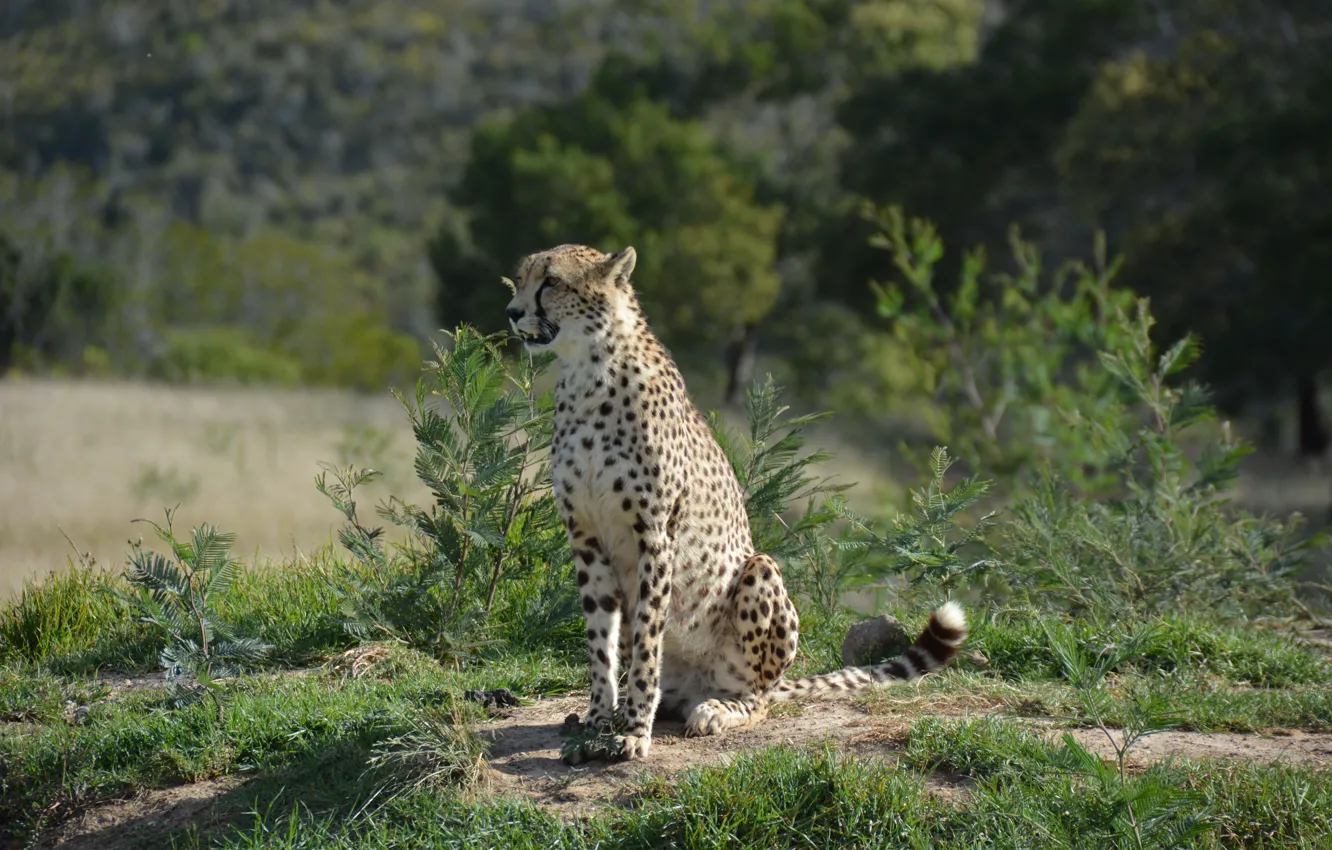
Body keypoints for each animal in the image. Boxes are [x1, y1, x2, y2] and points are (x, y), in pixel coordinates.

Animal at [503, 243, 969, 764]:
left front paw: (635, 731)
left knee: (759, 698)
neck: (586, 370)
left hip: (758, 572)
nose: (512, 312)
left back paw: (716, 711)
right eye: (520, 279)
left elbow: (646, 641)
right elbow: (601, 643)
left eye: (552, 282)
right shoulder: (585, 537)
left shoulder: (654, 537)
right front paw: (599, 722)